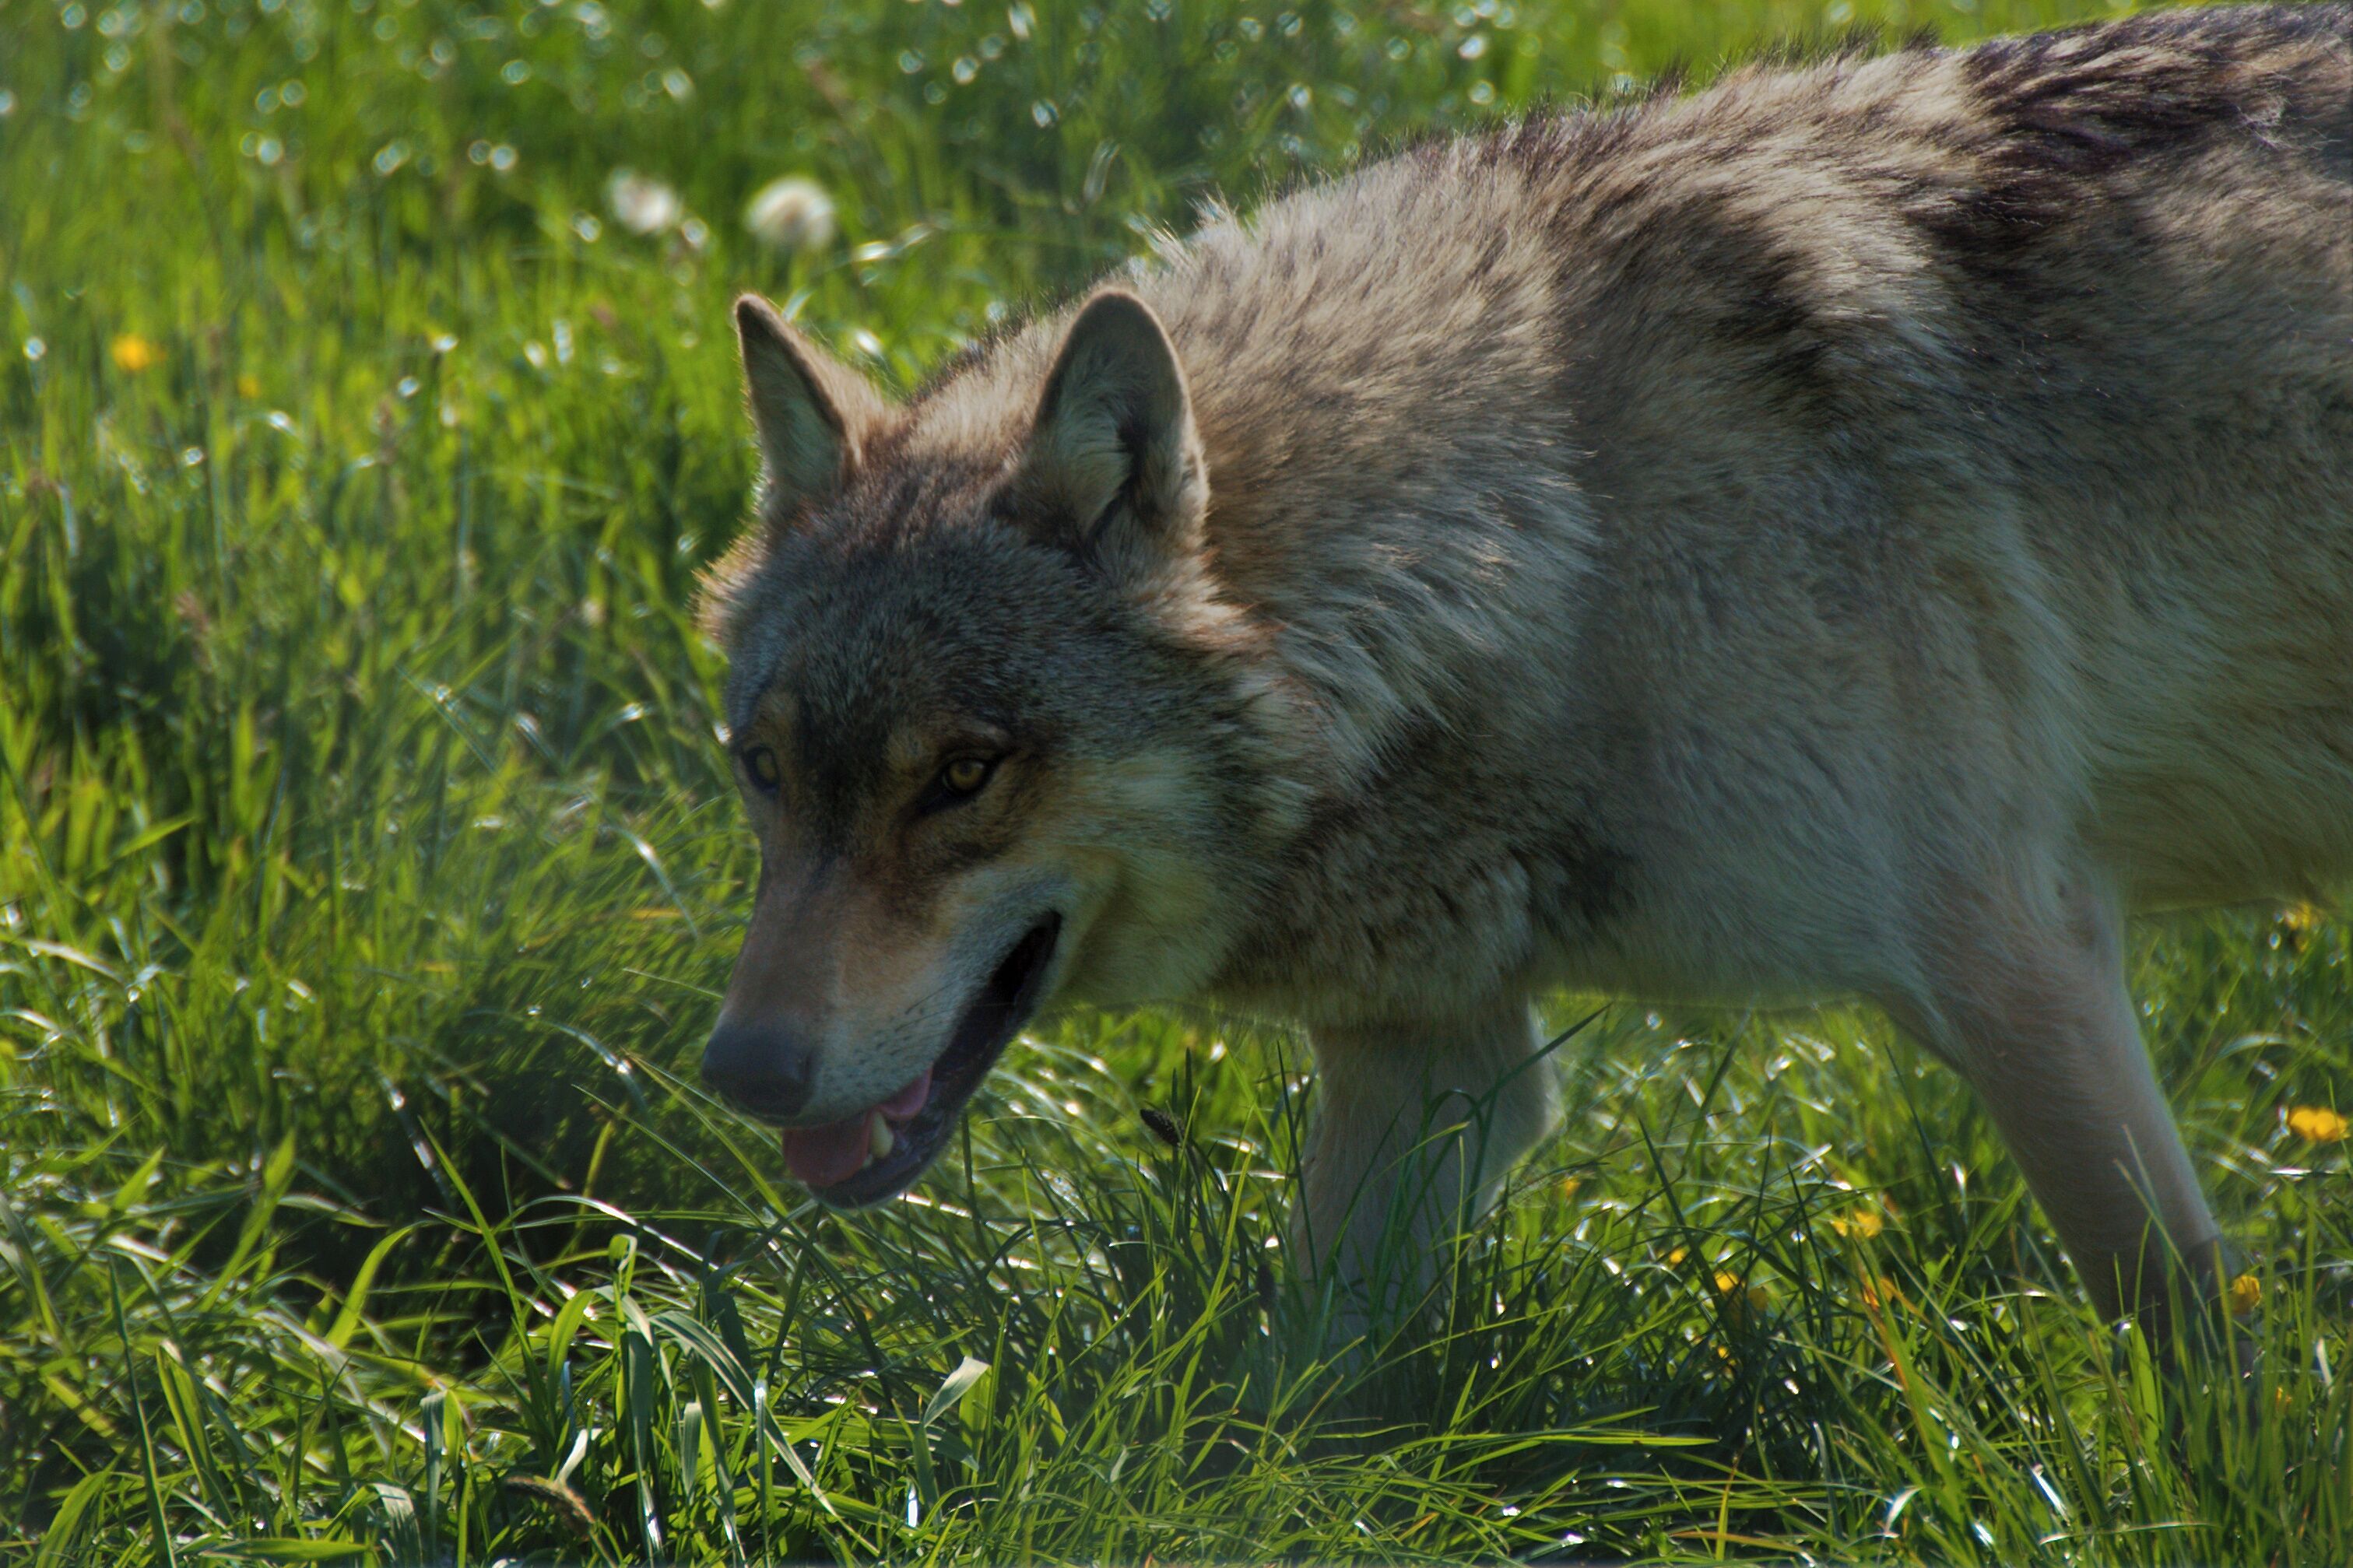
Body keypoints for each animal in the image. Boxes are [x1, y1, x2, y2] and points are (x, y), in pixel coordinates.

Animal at [695, 2, 2352, 1336]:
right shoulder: (1429, 1061)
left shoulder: (2020, 964)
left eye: (962, 775)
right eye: (763, 772)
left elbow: (2186, 1334)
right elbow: (1287, 1393)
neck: (1563, 531)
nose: (739, 1074)